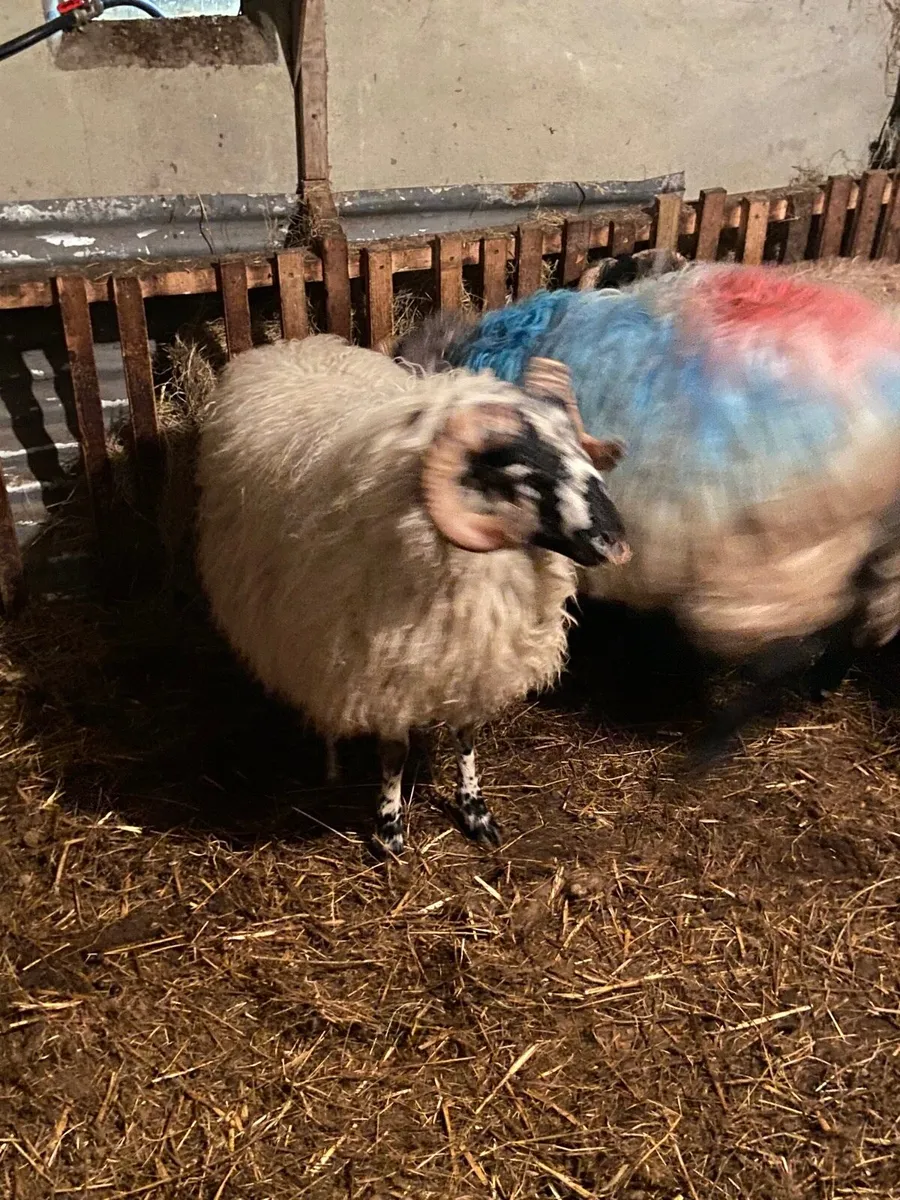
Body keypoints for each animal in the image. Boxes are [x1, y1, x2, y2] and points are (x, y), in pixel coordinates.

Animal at [195, 334, 630, 855]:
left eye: (578, 447)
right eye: (524, 474)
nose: (616, 540)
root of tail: (294, 343)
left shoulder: (474, 663)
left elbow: (466, 736)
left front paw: (475, 810)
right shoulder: (382, 672)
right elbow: (394, 753)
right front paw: (389, 827)